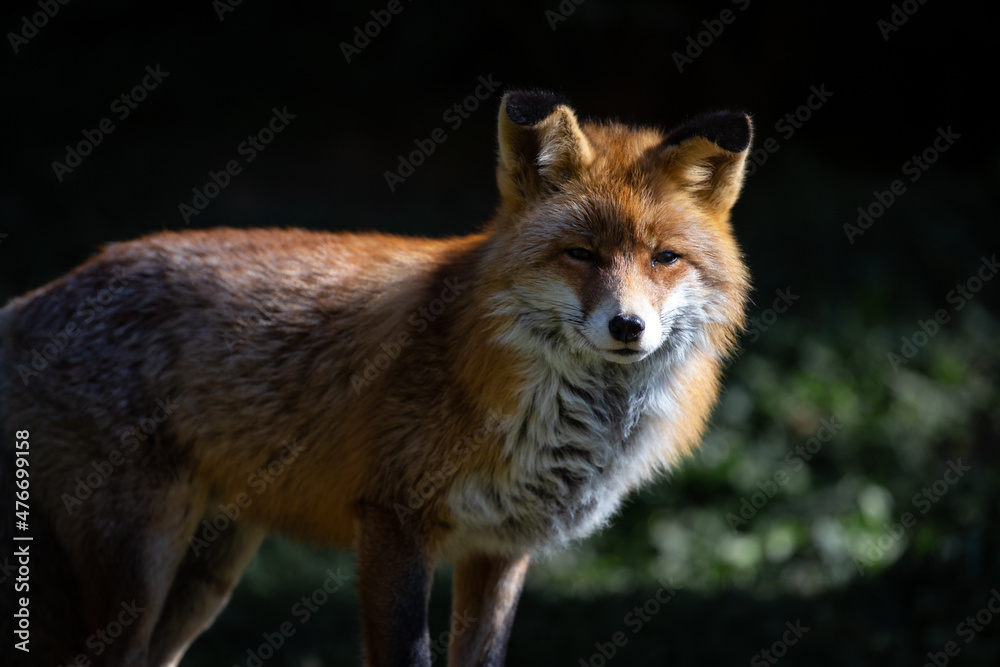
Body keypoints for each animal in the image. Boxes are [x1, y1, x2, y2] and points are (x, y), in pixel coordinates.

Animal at [0, 90, 752, 666]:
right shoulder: (395, 518)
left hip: (204, 577)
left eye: (664, 258)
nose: (628, 326)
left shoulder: (501, 546)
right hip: (139, 568)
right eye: (580, 254)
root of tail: (37, 297)